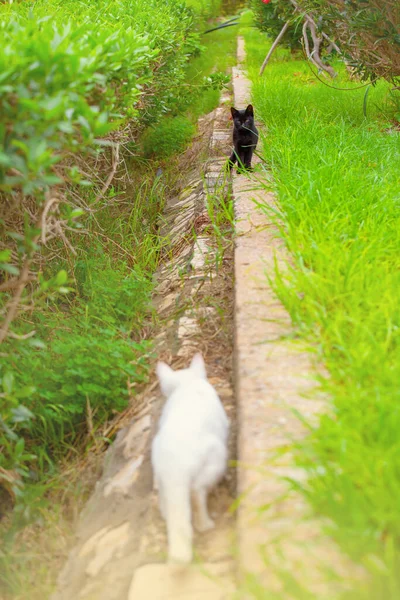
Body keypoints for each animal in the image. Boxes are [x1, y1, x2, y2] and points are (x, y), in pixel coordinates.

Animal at [152, 352, 230, 564]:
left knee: (166, 504)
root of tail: (175, 467)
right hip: (215, 458)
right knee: (196, 493)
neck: (187, 384)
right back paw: (206, 524)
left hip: (160, 473)